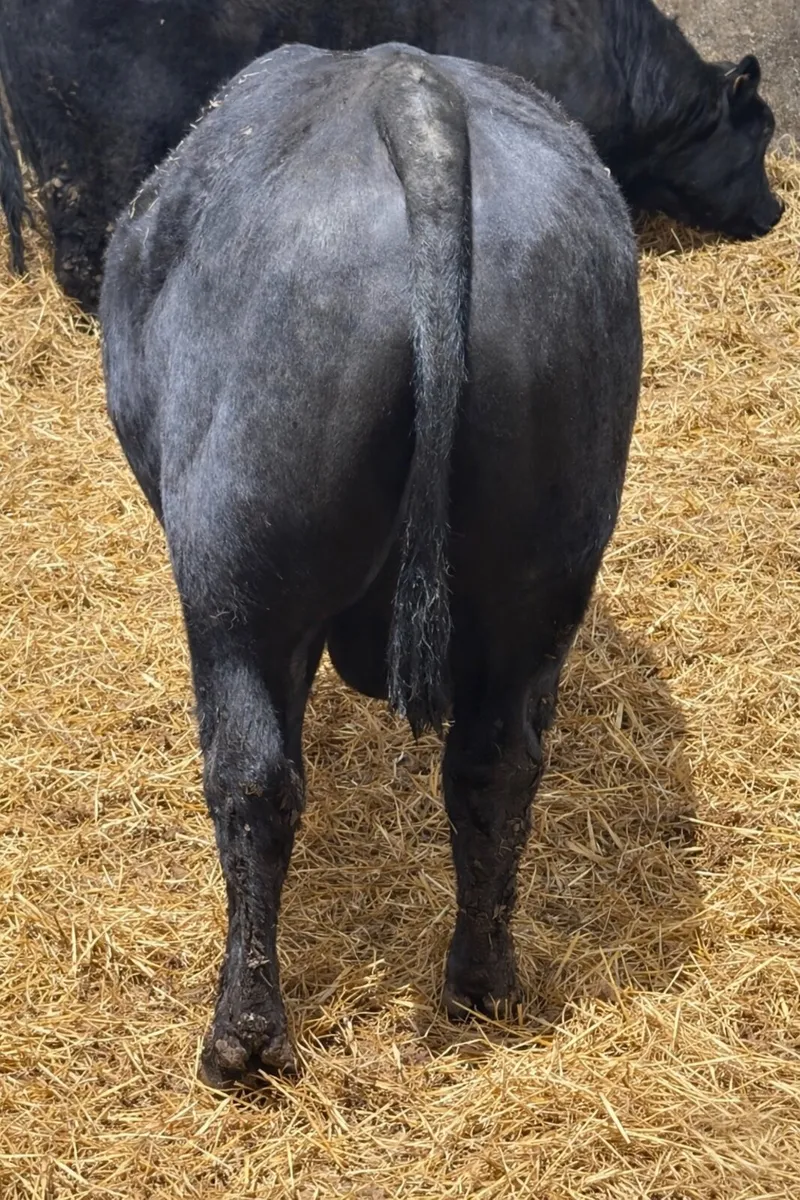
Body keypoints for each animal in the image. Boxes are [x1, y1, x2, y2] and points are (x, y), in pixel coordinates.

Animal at [100, 42, 642, 1088]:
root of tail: (411, 90)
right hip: (544, 578)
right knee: (496, 767)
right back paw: (482, 983)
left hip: (236, 577)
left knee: (254, 780)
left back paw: (243, 1037)